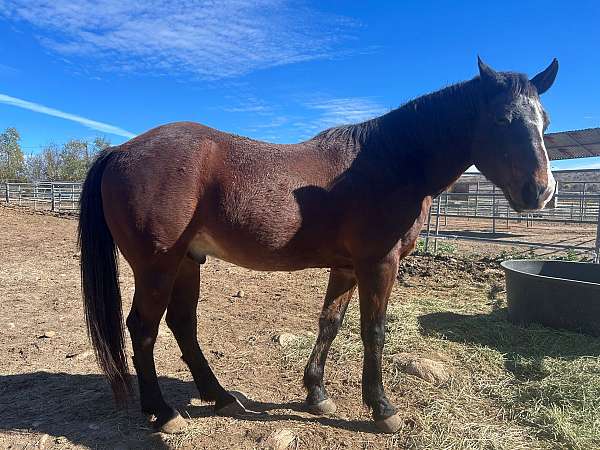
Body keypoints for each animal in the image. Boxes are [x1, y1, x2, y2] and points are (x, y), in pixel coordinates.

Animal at [78, 58, 556, 434]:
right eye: (501, 120)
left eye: (545, 121)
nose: (541, 191)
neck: (392, 162)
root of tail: (120, 150)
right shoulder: (378, 264)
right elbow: (373, 330)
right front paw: (382, 408)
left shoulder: (346, 267)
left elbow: (330, 324)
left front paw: (316, 394)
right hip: (156, 267)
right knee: (143, 328)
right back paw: (162, 411)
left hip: (186, 263)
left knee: (182, 324)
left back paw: (221, 397)